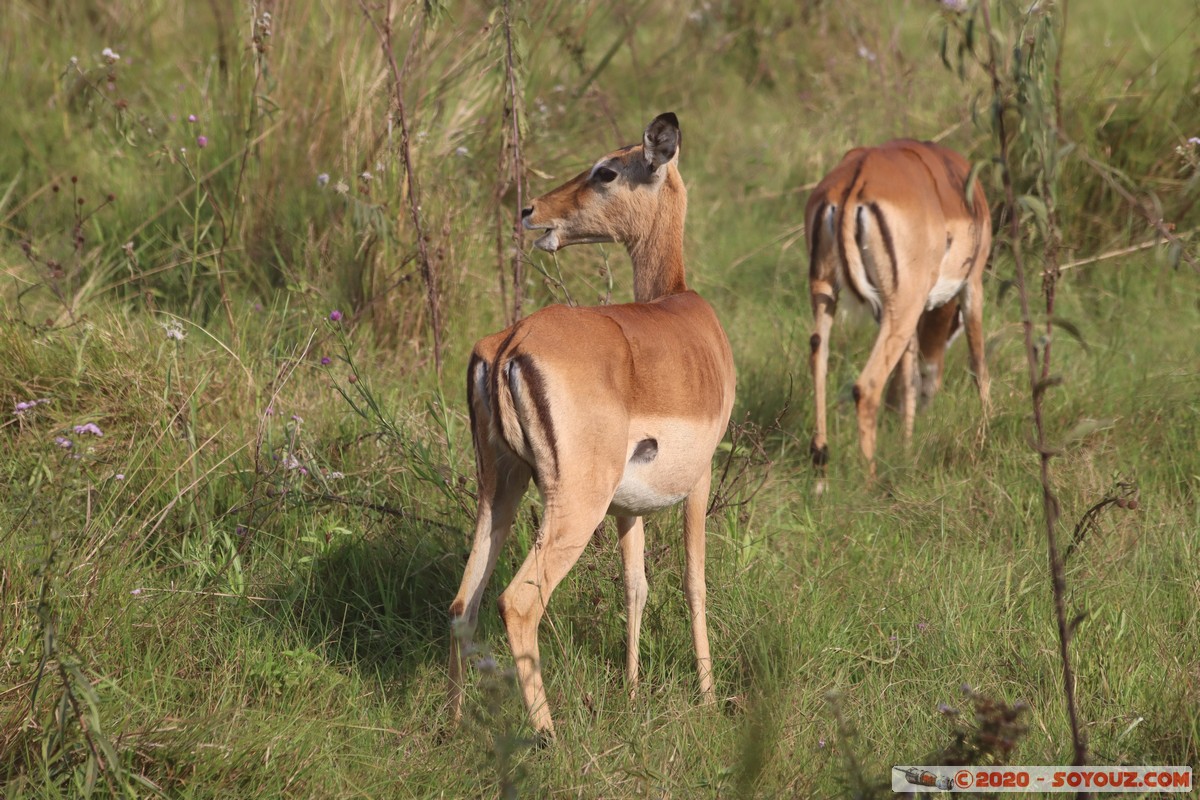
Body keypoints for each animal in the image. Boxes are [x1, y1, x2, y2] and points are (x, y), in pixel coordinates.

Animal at [446, 112, 734, 738]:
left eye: (606, 170)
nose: (531, 211)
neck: (682, 310)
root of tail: (509, 344)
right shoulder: (698, 481)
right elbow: (694, 581)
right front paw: (707, 698)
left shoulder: (628, 506)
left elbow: (635, 586)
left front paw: (631, 691)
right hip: (574, 501)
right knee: (517, 602)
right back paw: (548, 735)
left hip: (500, 488)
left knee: (463, 604)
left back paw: (449, 724)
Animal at [806, 139, 993, 489]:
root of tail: (857, 175)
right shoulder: (972, 285)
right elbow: (978, 366)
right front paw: (987, 432)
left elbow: (907, 378)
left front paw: (906, 450)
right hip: (902, 306)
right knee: (867, 386)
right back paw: (870, 483)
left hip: (828, 291)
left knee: (817, 358)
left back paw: (821, 472)